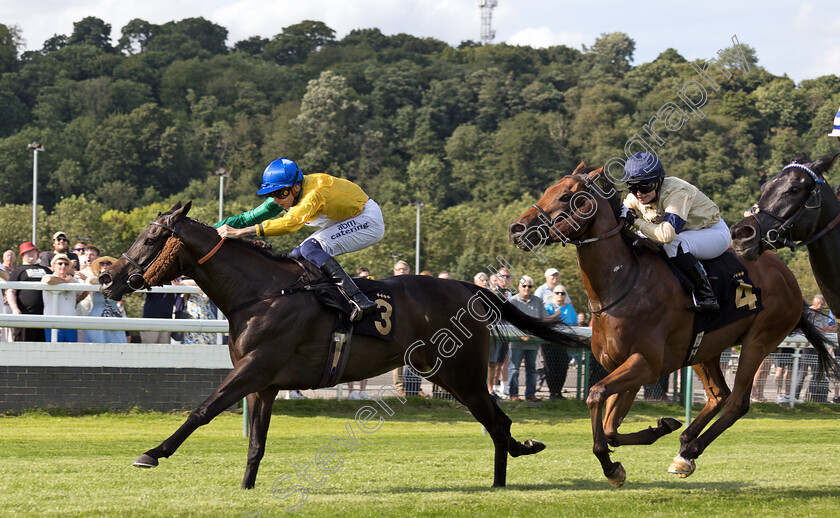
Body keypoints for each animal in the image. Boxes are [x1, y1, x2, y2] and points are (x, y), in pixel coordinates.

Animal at [98, 202, 584, 492]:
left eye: (150, 239)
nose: (108, 277)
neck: (260, 293)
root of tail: (471, 289)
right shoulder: (263, 383)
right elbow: (256, 441)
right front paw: (247, 487)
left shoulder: (254, 368)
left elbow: (202, 410)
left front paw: (152, 454)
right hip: (450, 373)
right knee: (494, 421)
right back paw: (504, 475)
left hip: (460, 372)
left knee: (496, 420)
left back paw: (510, 468)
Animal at [502, 165, 836, 490]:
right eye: (549, 190)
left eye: (567, 195)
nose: (517, 228)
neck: (622, 283)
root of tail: (788, 276)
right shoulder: (627, 367)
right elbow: (610, 428)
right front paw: (660, 427)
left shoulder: (646, 364)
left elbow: (595, 395)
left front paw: (611, 467)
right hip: (704, 350)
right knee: (719, 395)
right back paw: (685, 444)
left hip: (758, 341)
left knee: (738, 401)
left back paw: (690, 451)